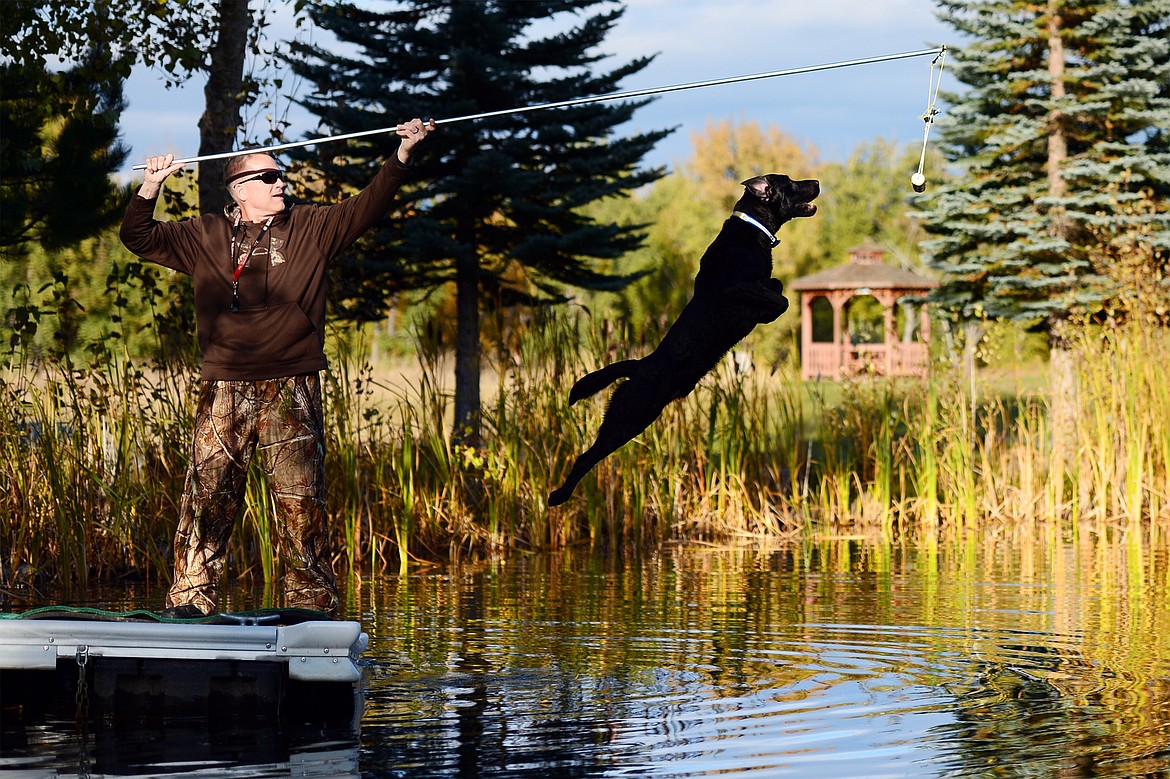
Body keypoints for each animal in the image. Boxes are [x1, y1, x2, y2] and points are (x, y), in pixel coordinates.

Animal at [549, 173, 819, 507]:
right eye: (791, 183)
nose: (817, 182)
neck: (751, 230)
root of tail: (640, 365)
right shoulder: (734, 287)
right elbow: (781, 299)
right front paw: (766, 310)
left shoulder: (760, 284)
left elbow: (777, 287)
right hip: (629, 418)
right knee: (585, 457)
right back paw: (558, 495)